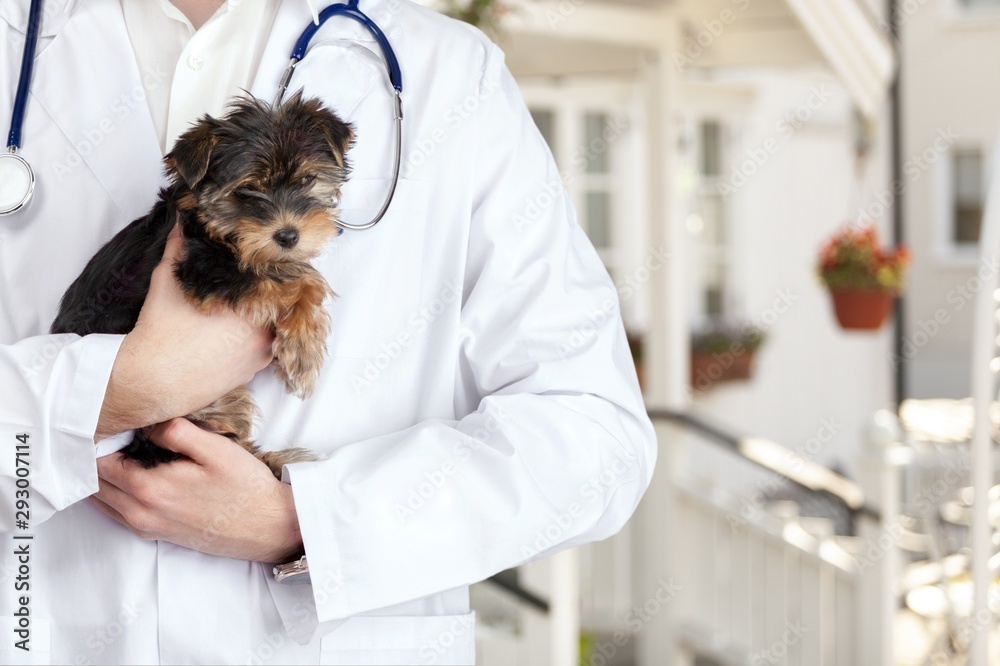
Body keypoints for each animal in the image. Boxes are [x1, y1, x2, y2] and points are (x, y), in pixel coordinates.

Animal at [52, 93, 356, 478]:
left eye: (307, 179)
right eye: (245, 191)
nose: (288, 235)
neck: (217, 228)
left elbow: (290, 271)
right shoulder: (204, 270)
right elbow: (298, 279)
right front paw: (303, 353)